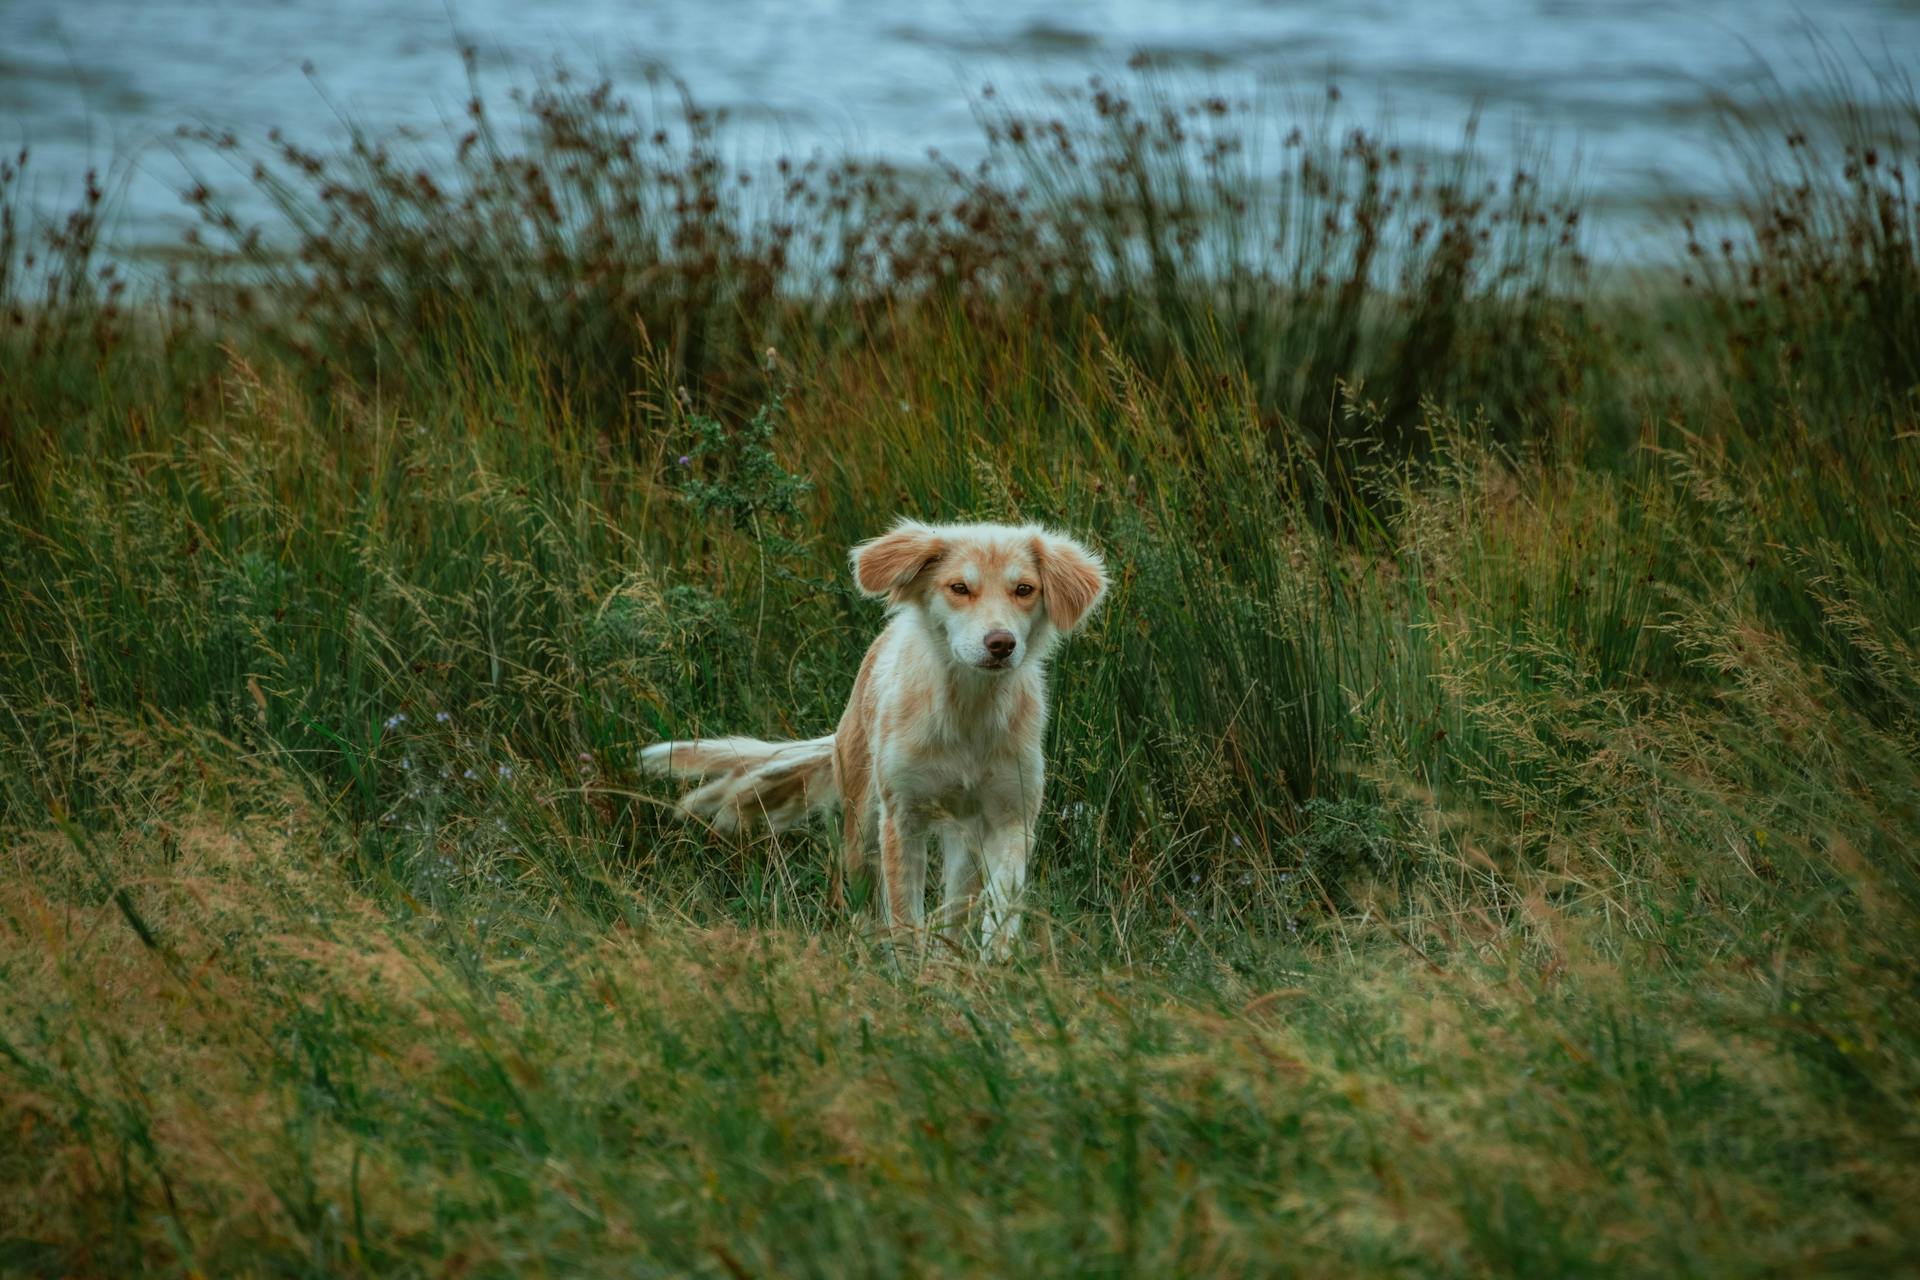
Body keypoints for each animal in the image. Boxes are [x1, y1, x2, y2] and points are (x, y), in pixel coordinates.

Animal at [641, 514, 1113, 955]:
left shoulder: (1012, 817)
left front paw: (992, 963)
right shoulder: (902, 817)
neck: (967, 710)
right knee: (863, 899)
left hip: (964, 836)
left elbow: (1001, 909)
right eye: (959, 588)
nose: (1001, 643)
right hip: (862, 822)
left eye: (1024, 589)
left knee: (955, 905)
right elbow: (904, 914)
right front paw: (909, 970)